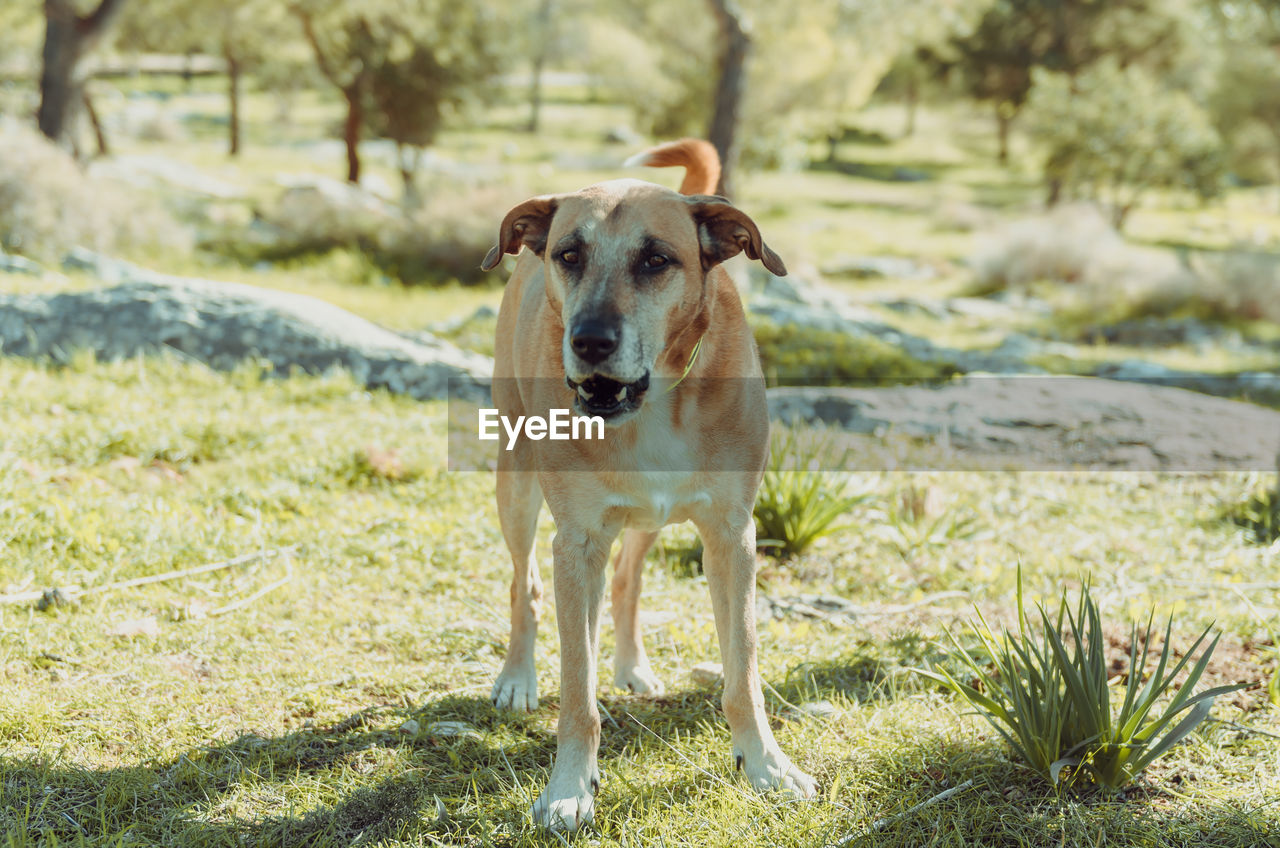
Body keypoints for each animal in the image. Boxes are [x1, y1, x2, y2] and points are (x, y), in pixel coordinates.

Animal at [481, 137, 819, 830]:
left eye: (657, 260)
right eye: (569, 255)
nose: (588, 341)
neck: (658, 399)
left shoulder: (731, 536)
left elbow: (744, 672)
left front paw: (766, 765)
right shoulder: (576, 541)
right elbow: (576, 690)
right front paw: (569, 787)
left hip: (651, 519)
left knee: (626, 579)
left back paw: (631, 665)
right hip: (518, 482)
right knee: (526, 583)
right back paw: (518, 677)